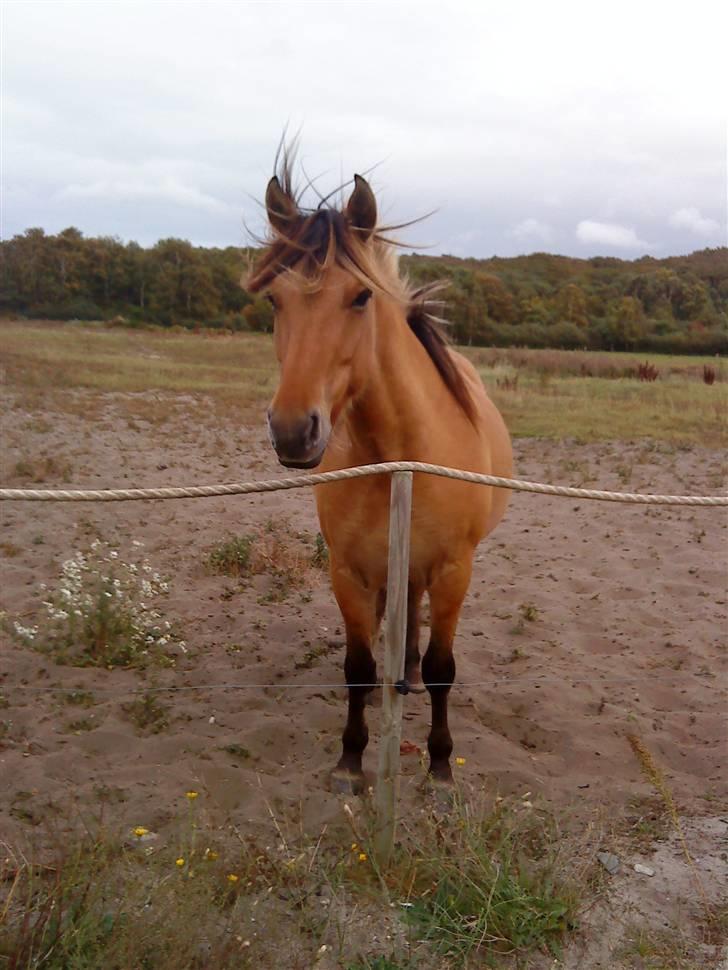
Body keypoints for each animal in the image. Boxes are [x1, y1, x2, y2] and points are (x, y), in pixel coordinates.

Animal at [247, 155, 516, 792]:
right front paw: (350, 757)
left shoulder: (454, 571)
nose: (292, 430)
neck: (401, 452)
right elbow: (357, 664)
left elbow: (444, 668)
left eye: (360, 296)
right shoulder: (347, 570)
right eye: (274, 300)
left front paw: (440, 765)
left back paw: (410, 675)